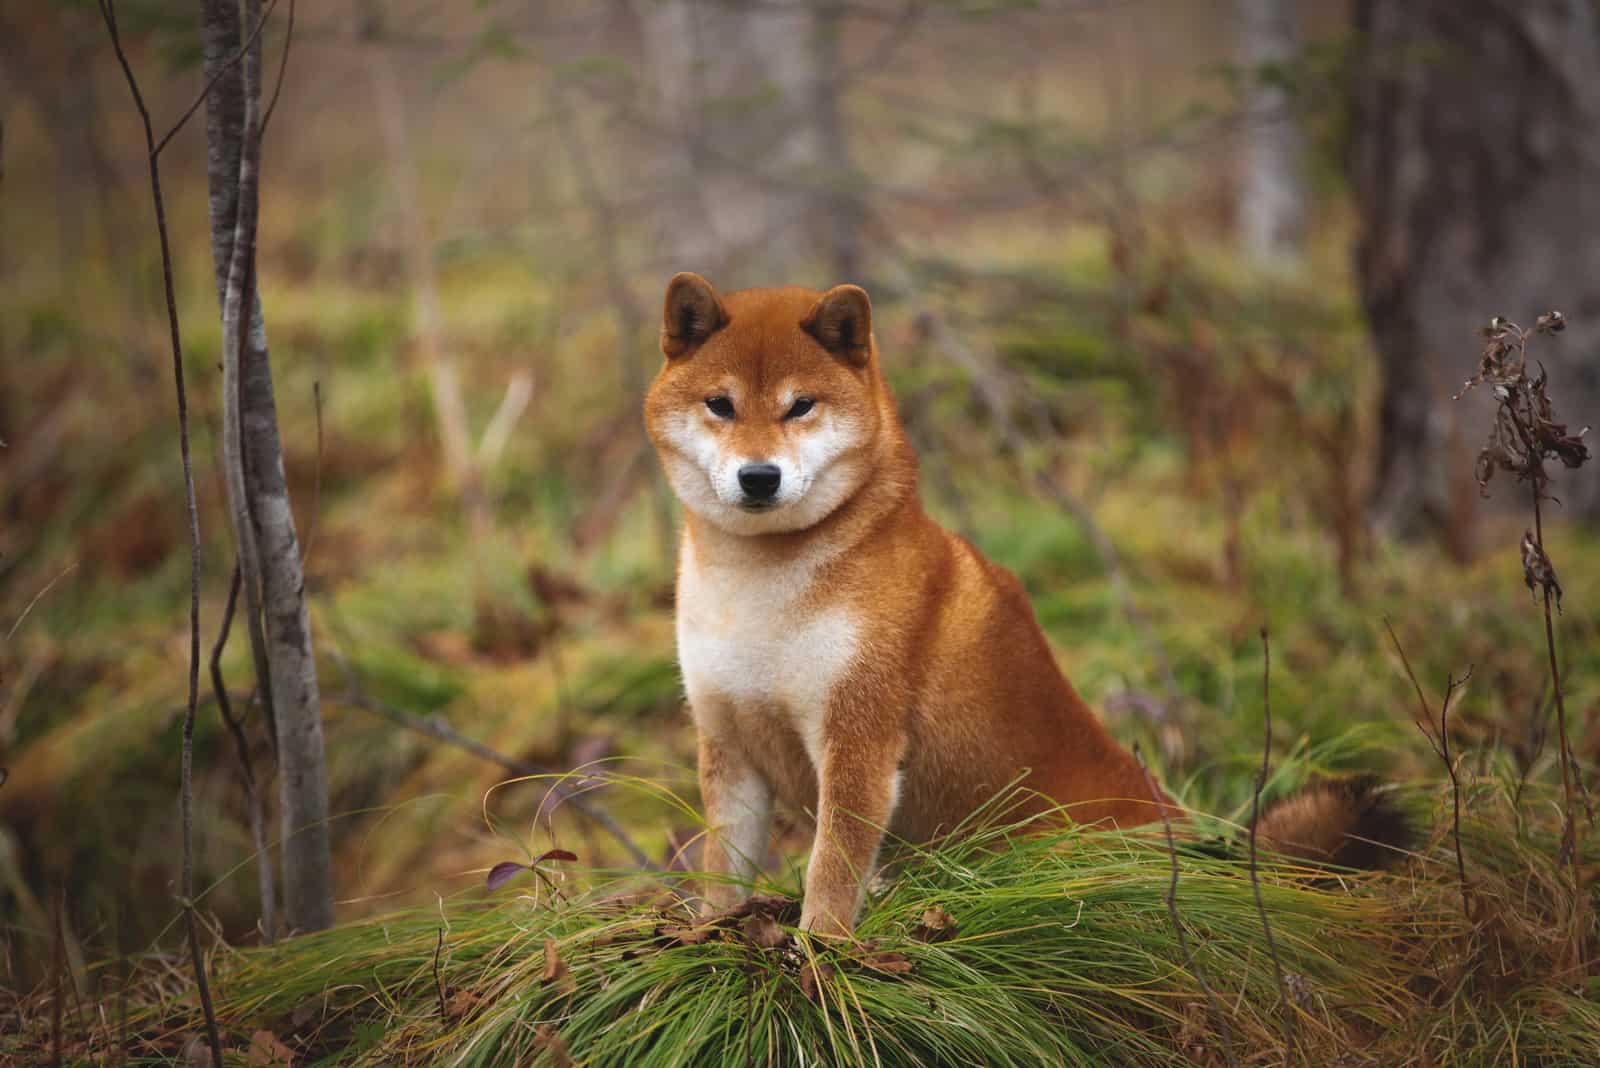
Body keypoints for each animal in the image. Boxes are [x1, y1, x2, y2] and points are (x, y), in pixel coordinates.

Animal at [643, 273, 1408, 933]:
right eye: (720, 404)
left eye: (800, 405)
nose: (759, 477)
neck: (762, 590)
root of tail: (1204, 849)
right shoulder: (731, 745)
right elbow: (721, 874)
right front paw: (708, 936)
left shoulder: (859, 741)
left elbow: (829, 877)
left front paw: (818, 956)